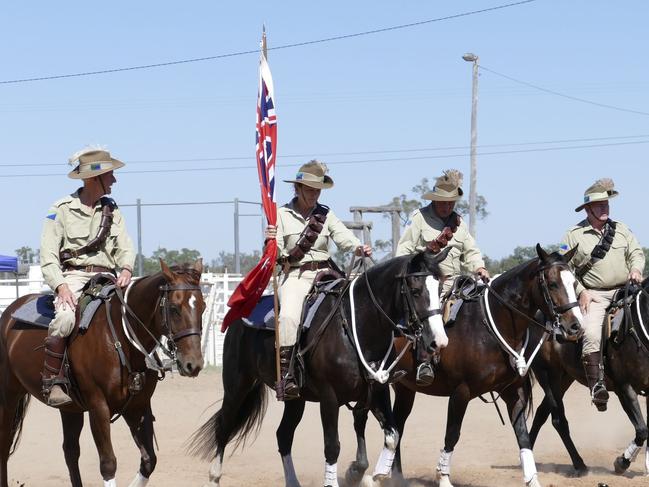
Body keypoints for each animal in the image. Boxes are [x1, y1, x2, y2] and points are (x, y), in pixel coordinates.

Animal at [0, 262, 205, 487]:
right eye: (174, 308)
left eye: (203, 307)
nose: (193, 364)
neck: (121, 337)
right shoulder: (98, 407)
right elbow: (108, 464)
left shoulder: (138, 407)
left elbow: (149, 460)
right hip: (8, 397)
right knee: (4, 445)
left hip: (69, 408)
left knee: (70, 451)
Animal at [190, 250, 448, 487]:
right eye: (415, 291)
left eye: (440, 289)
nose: (438, 341)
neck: (355, 326)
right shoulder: (329, 398)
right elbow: (332, 446)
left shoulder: (378, 391)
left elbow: (393, 434)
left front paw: (375, 473)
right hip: (237, 386)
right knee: (224, 427)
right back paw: (214, 477)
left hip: (295, 399)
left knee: (283, 435)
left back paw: (293, 482)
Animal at [350, 246, 584, 487]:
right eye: (552, 283)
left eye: (575, 282)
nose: (576, 326)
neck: (489, 325)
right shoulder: (461, 392)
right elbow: (452, 434)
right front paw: (443, 478)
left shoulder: (513, 391)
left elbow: (523, 437)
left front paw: (532, 479)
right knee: (364, 416)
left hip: (405, 389)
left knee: (396, 424)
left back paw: (394, 475)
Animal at [528, 278, 648, 476]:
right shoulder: (625, 389)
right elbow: (642, 430)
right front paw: (622, 462)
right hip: (547, 375)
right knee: (558, 420)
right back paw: (579, 464)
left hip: (564, 379)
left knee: (541, 413)